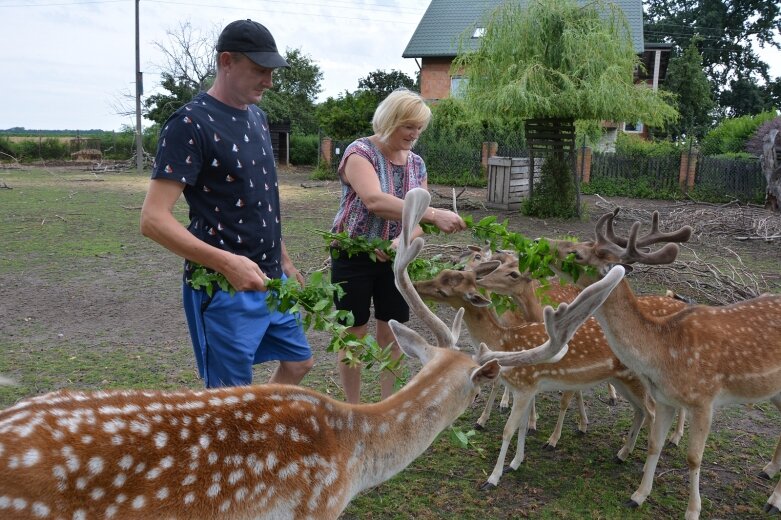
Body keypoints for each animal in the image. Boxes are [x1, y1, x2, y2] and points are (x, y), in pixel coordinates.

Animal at [548, 208, 780, 520]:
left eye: (578, 254)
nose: (541, 244)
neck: (663, 355)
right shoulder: (665, 398)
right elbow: (654, 443)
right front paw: (637, 496)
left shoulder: (704, 400)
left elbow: (694, 458)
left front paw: (693, 511)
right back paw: (768, 471)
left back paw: (774, 499)